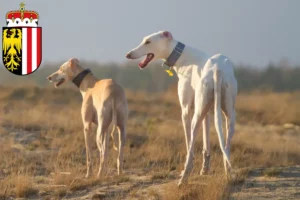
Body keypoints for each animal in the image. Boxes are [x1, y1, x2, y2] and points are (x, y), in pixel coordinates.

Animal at [125, 30, 238, 185]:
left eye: (148, 42)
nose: (128, 54)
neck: (183, 57)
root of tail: (217, 69)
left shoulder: (185, 110)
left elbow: (189, 142)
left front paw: (192, 169)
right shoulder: (207, 111)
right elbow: (206, 144)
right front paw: (205, 169)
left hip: (196, 116)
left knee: (191, 146)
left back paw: (184, 177)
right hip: (228, 115)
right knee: (226, 146)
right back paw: (229, 174)